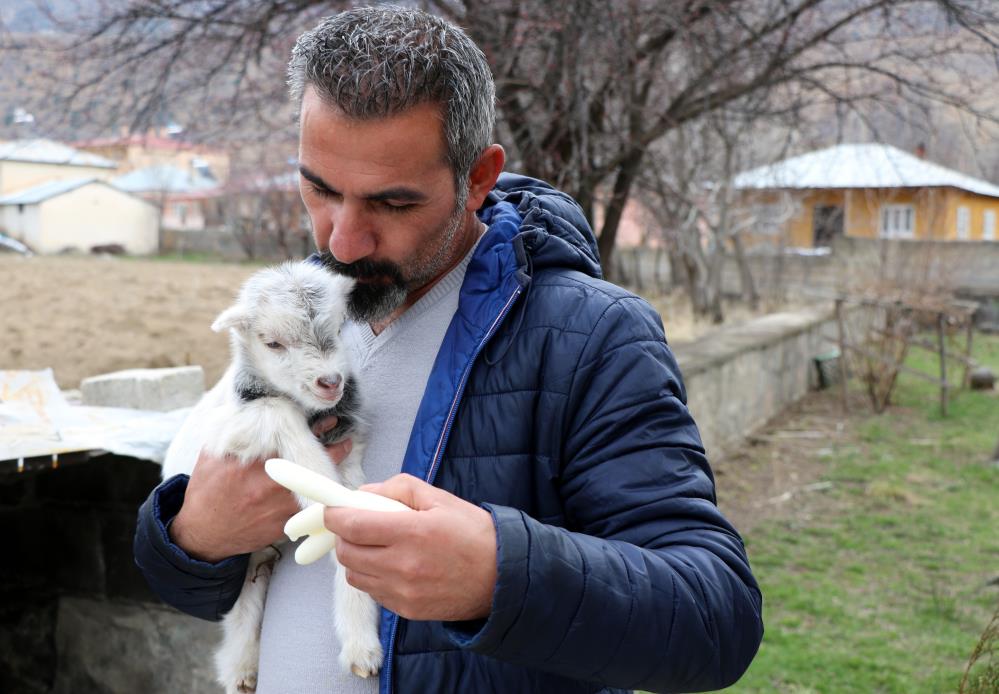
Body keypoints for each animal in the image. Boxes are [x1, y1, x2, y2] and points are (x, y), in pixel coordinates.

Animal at [164, 260, 382, 694]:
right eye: (273, 344)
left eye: (337, 331)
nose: (330, 383)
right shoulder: (230, 430)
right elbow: (278, 412)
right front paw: (314, 484)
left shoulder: (349, 448)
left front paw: (361, 648)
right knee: (239, 605)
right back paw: (239, 670)